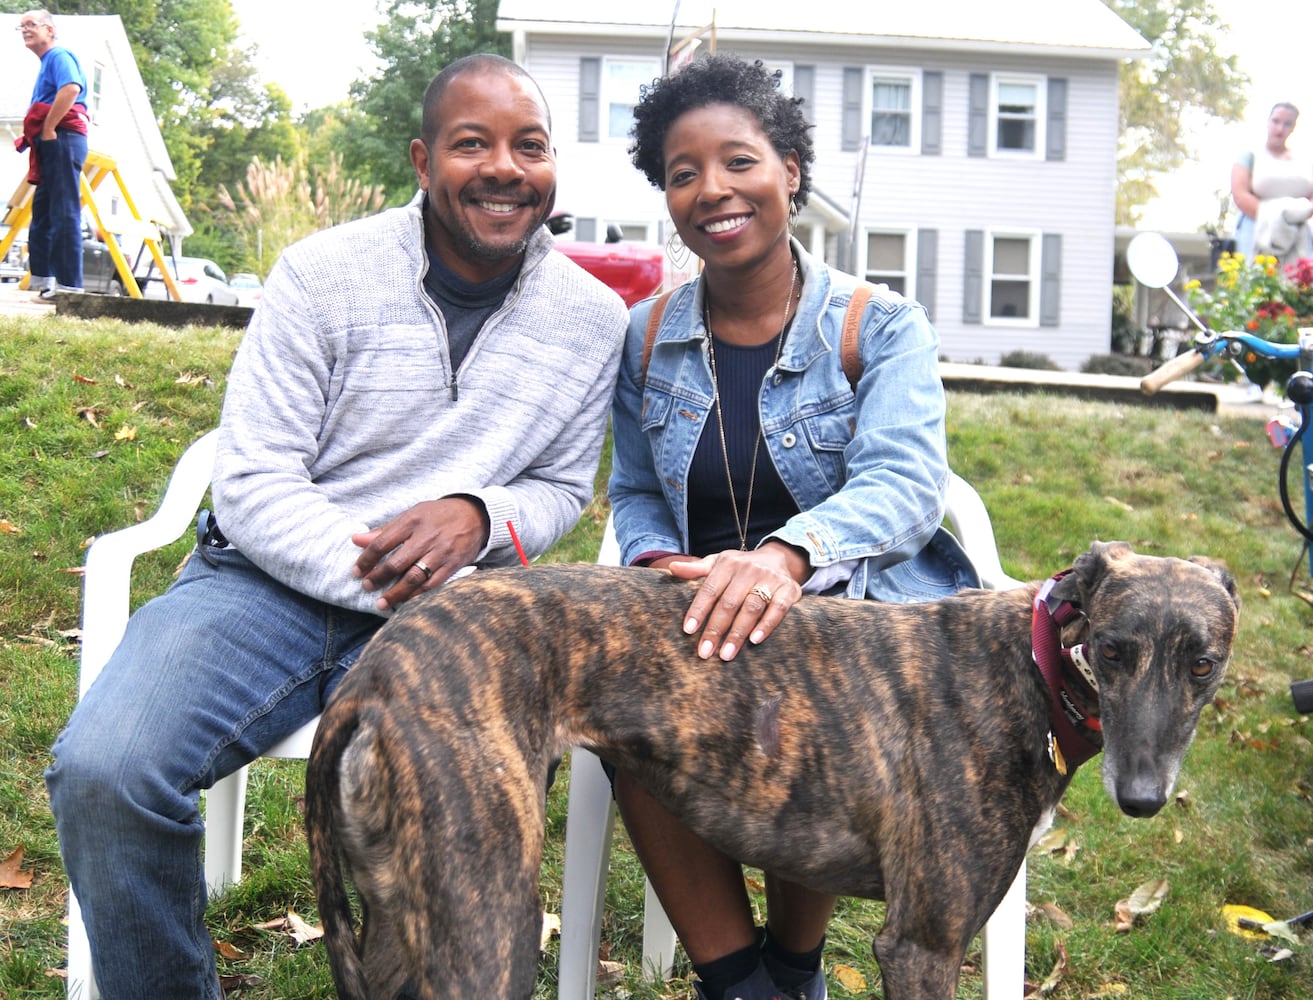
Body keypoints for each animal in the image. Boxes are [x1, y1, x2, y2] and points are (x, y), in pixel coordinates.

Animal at [304, 540, 1239, 992]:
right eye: (1113, 650)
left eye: (1203, 663)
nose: (1142, 799)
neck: (1032, 669)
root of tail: (373, 676)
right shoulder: (922, 945)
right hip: (489, 925)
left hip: (402, 913)